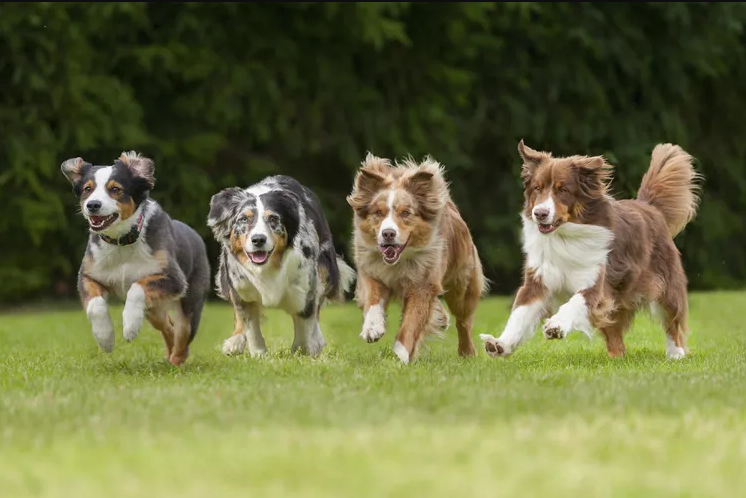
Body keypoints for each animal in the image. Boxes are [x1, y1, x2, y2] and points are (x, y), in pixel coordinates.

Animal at [59, 150, 211, 364]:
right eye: (87, 189)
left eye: (115, 189)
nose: (93, 205)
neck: (122, 241)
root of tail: (196, 236)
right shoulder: (89, 275)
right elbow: (96, 305)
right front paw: (105, 339)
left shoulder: (174, 278)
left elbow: (136, 287)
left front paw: (130, 327)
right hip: (153, 309)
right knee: (168, 326)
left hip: (190, 301)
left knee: (183, 335)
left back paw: (175, 362)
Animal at [205, 173, 354, 356]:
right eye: (243, 219)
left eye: (273, 219)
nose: (258, 239)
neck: (268, 267)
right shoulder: (241, 288)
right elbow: (250, 324)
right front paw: (259, 354)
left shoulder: (305, 288)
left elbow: (305, 322)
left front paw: (304, 351)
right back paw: (235, 342)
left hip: (325, 269)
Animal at [346, 152, 486, 362]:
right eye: (378, 212)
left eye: (405, 213)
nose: (388, 233)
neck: (400, 261)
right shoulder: (372, 271)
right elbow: (372, 299)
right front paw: (372, 328)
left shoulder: (423, 283)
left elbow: (411, 323)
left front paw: (399, 355)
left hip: (462, 284)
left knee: (463, 321)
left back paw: (467, 352)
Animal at [480, 139, 700, 358]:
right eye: (537, 188)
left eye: (562, 190)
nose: (539, 213)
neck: (563, 237)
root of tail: (650, 207)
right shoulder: (538, 279)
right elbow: (520, 313)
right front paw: (500, 344)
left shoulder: (595, 280)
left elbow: (575, 303)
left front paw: (556, 326)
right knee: (615, 332)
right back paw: (618, 357)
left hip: (665, 280)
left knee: (672, 317)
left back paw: (675, 352)